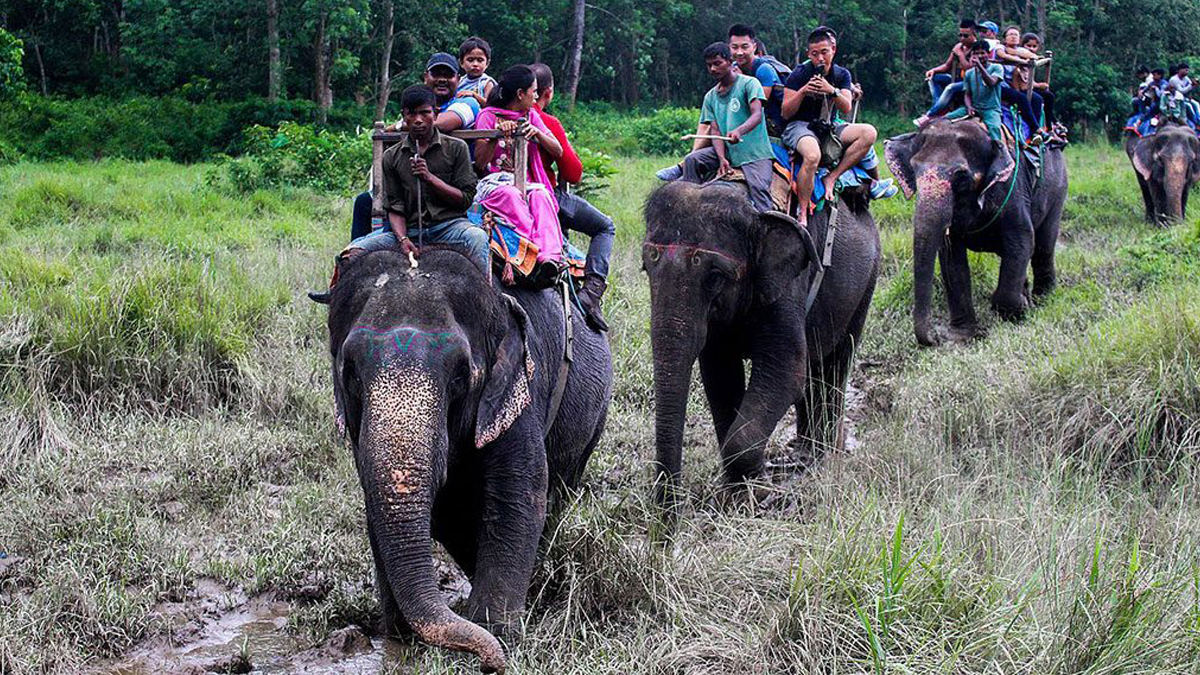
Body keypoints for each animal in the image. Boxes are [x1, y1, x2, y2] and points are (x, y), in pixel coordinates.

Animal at [324, 249, 614, 667]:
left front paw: (496, 632)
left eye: (461, 376)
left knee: (558, 493)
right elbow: (389, 506)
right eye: (350, 375)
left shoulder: (518, 387)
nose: (495, 665)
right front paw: (401, 637)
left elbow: (518, 497)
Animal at [648, 178, 883, 504]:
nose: (669, 513)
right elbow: (720, 377)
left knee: (835, 363)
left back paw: (826, 454)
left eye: (715, 277)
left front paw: (759, 491)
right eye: (646, 267)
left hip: (866, 283)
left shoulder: (788, 285)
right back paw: (805, 454)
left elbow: (787, 370)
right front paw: (738, 490)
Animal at [883, 117, 1070, 343]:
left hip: (1058, 187)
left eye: (961, 177)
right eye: (914, 168)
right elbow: (952, 258)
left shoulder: (1012, 188)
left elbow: (1022, 241)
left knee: (1044, 245)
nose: (935, 339)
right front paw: (961, 336)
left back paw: (1043, 299)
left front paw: (1019, 309)